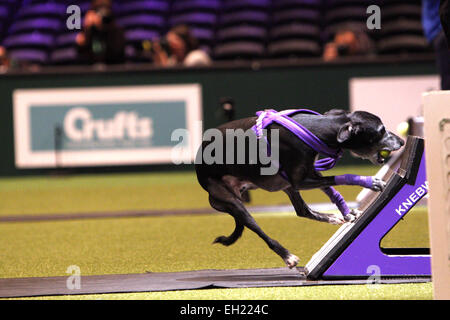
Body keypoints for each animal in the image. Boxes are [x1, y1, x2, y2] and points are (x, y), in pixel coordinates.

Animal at [196, 109, 404, 268]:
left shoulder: (309, 174)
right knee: (259, 229)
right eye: (381, 130)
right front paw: (370, 182)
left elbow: (330, 188)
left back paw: (331, 217)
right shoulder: (300, 181)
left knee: (302, 210)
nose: (402, 141)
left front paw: (346, 212)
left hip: (285, 185)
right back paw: (287, 256)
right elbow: (340, 179)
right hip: (233, 200)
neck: (315, 129)